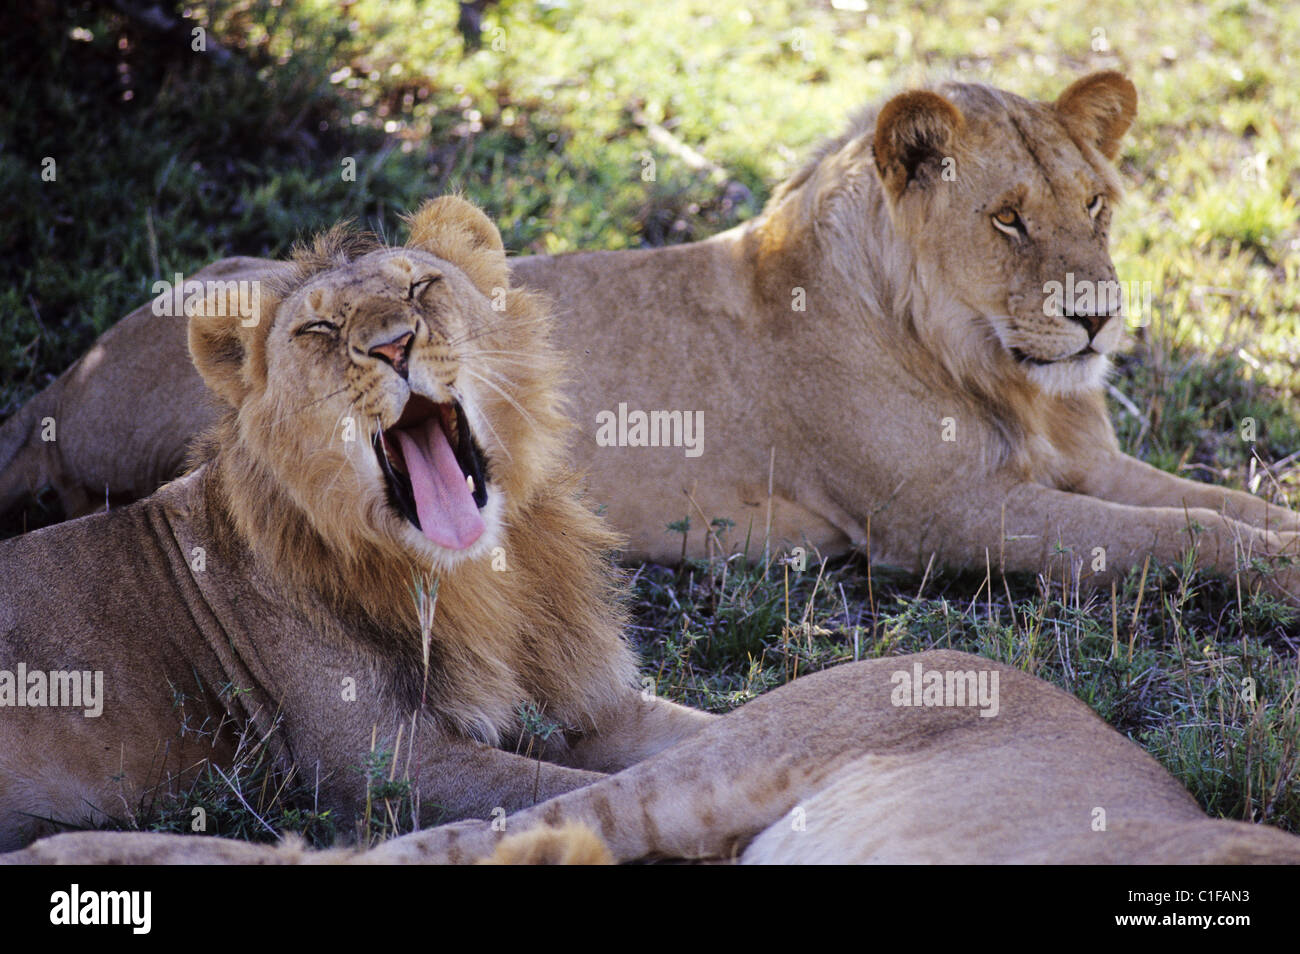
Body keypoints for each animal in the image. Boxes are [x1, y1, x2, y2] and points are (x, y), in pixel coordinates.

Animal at [0, 195, 713, 851]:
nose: (393, 345)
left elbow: (703, 731)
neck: (480, 582)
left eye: (420, 287)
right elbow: (581, 789)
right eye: (318, 327)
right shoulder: (383, 768)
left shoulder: (584, 703)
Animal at [2, 70, 1297, 599]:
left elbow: (1211, 502)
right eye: (1008, 221)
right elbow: (1173, 534)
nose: (1096, 315)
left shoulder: (1078, 462)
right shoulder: (938, 521)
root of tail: (60, 382)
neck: (1004, 377)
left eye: (1094, 208)